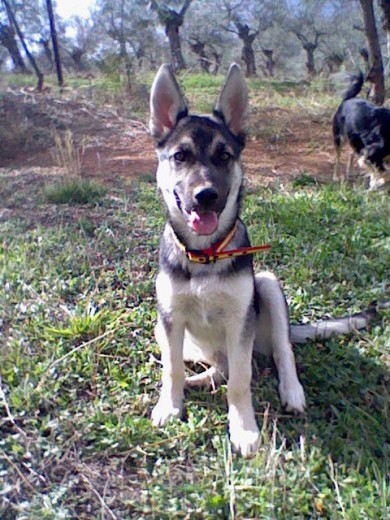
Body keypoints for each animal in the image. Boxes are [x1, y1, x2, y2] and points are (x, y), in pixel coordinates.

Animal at [149, 63, 374, 458]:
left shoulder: (241, 323)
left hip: (266, 286)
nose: (206, 196)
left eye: (224, 156)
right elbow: (171, 368)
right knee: (214, 366)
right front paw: (170, 405)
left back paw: (292, 391)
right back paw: (197, 380)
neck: (206, 255)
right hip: (172, 332)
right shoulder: (170, 317)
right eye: (180, 156)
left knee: (281, 352)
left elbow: (242, 380)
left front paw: (243, 429)